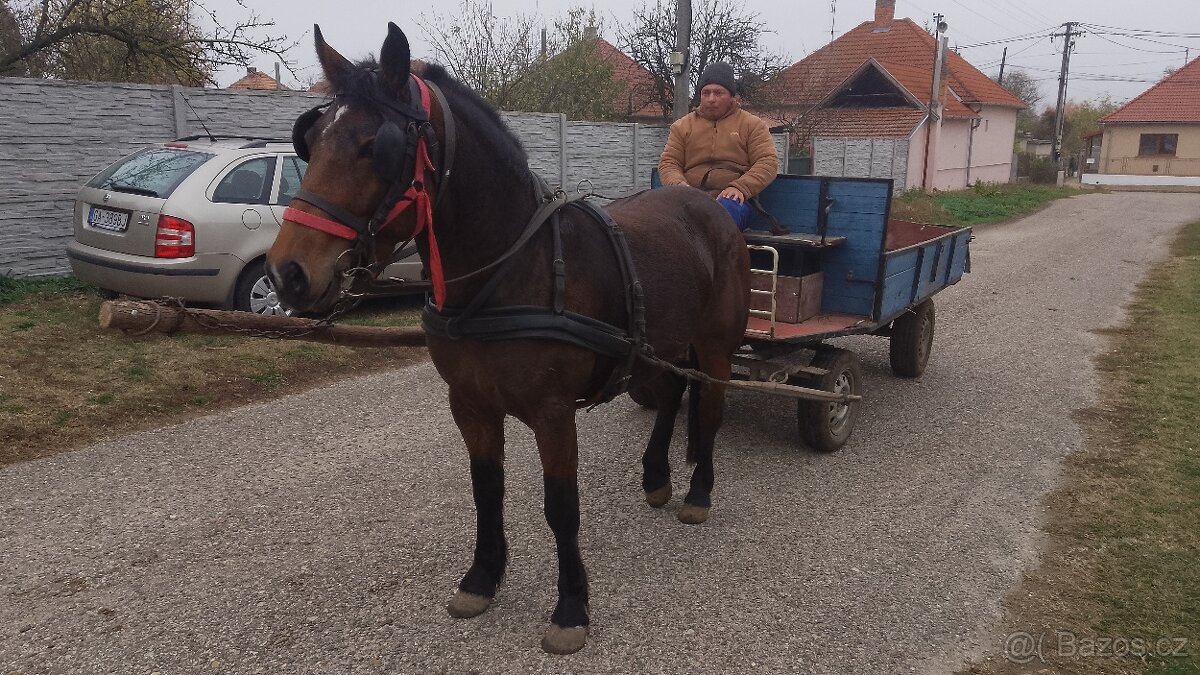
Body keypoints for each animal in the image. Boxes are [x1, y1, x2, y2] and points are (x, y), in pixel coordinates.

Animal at [265, 23, 751, 655]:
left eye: (376, 145)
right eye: (312, 139)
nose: (287, 274)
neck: (509, 270)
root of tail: (709, 203)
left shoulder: (553, 412)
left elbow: (561, 507)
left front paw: (571, 607)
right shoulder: (470, 404)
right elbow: (486, 490)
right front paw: (482, 577)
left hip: (713, 346)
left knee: (709, 404)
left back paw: (698, 492)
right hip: (661, 346)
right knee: (671, 394)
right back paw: (656, 477)